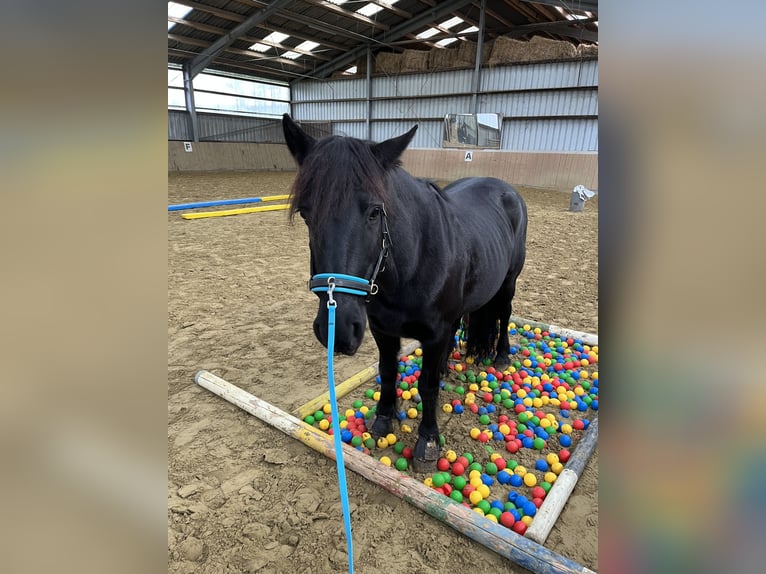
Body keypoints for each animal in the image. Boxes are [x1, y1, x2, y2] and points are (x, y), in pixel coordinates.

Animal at [282, 114, 527, 471]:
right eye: (305, 213)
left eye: (374, 211)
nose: (338, 330)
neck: (410, 266)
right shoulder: (383, 330)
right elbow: (388, 372)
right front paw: (384, 419)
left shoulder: (434, 333)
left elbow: (426, 386)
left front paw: (428, 441)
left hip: (508, 282)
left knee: (504, 315)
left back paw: (501, 355)